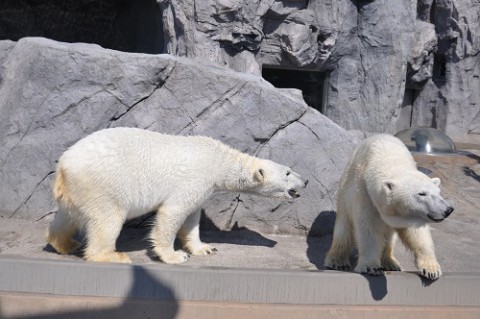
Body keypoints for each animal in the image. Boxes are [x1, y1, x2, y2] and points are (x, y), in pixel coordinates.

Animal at [46, 127, 308, 264]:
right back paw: (112, 255)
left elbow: (192, 218)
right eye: (287, 173)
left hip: (77, 190)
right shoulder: (194, 178)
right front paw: (174, 255)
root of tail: (64, 165)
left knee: (65, 217)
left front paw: (205, 248)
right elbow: (172, 213)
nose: (305, 181)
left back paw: (65, 243)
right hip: (102, 184)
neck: (218, 161)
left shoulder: (202, 187)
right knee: (107, 220)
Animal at [324, 134, 452, 280]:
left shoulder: (411, 214)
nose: (448, 210)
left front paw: (431, 269)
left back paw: (391, 263)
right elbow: (368, 228)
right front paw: (371, 267)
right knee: (344, 229)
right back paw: (337, 261)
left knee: (389, 238)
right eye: (422, 193)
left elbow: (417, 234)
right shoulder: (365, 194)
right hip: (344, 193)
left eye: (438, 192)